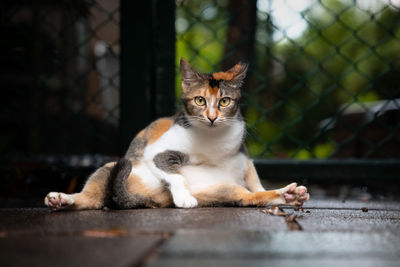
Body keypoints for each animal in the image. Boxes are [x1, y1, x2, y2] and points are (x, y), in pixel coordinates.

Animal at [45, 58, 310, 211]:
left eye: (224, 101)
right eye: (200, 100)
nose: (212, 117)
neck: (213, 140)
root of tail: (152, 199)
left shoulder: (243, 155)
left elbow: (255, 180)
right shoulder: (157, 151)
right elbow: (174, 173)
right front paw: (183, 197)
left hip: (225, 189)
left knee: (251, 196)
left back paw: (290, 195)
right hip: (111, 167)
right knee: (92, 200)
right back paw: (62, 199)